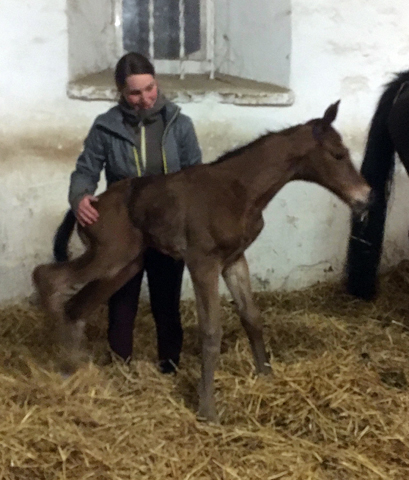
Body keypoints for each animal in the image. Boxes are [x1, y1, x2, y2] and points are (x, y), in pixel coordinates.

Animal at [32, 103, 370, 422]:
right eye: (338, 154)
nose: (366, 197)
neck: (239, 191)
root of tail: (87, 205)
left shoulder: (234, 260)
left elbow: (252, 317)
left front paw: (265, 374)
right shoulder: (203, 262)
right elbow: (210, 331)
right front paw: (208, 409)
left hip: (125, 265)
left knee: (76, 307)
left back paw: (76, 367)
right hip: (108, 256)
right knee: (48, 277)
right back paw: (62, 360)